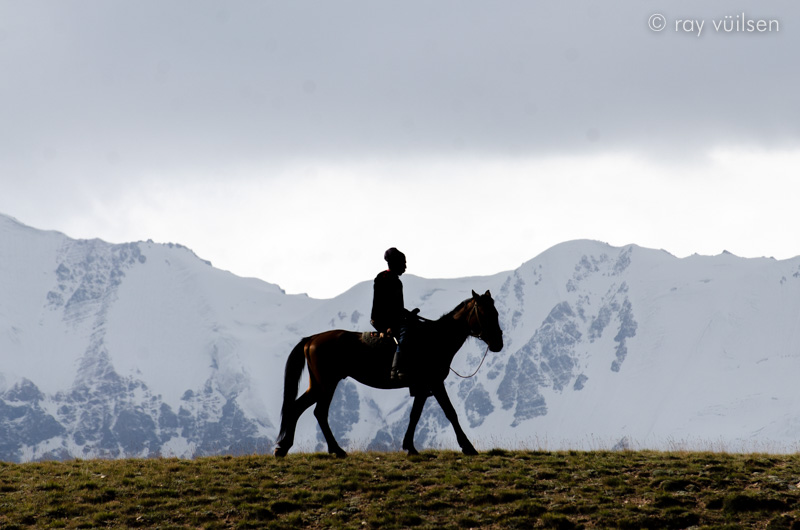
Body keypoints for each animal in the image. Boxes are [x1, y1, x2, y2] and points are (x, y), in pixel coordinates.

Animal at [272, 286, 504, 456]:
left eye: (496, 312)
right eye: (485, 313)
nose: (498, 343)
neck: (435, 339)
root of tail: (311, 339)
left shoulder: (422, 387)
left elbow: (415, 415)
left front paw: (410, 447)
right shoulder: (435, 383)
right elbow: (450, 412)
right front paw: (468, 447)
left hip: (320, 384)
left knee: (302, 408)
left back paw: (287, 448)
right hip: (326, 384)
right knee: (316, 411)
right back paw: (332, 450)